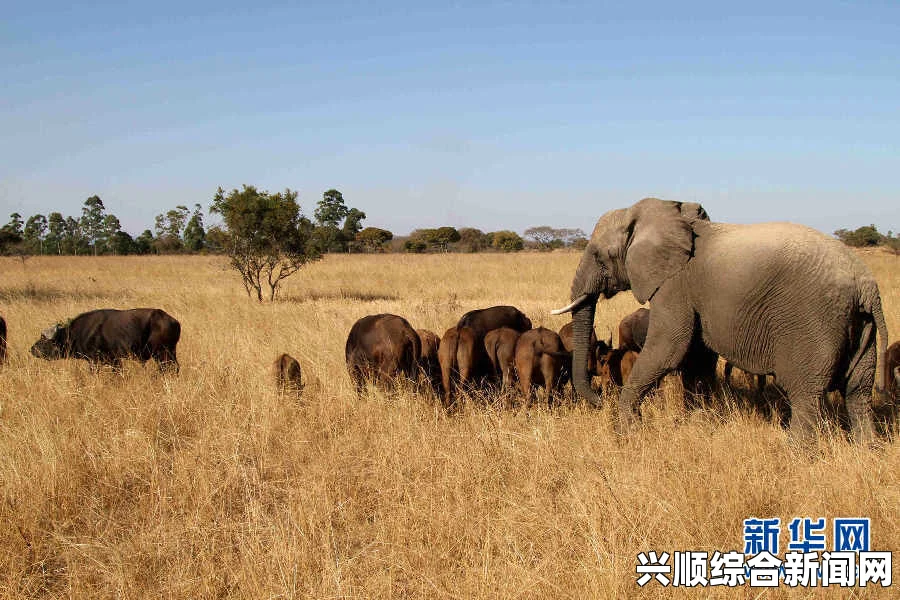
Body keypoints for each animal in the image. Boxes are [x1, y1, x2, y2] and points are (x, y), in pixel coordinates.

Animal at [30, 310, 181, 370]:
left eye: (43, 340)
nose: (32, 349)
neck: (76, 334)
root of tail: (174, 321)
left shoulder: (98, 361)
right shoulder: (115, 362)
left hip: (162, 353)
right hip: (169, 353)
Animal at [552, 199, 888, 442]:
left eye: (599, 256)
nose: (599, 400)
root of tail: (866, 287)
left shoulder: (676, 283)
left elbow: (669, 347)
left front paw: (627, 434)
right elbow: (697, 357)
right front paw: (700, 423)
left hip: (814, 321)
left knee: (807, 394)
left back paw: (795, 453)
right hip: (861, 327)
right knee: (858, 393)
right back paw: (865, 450)